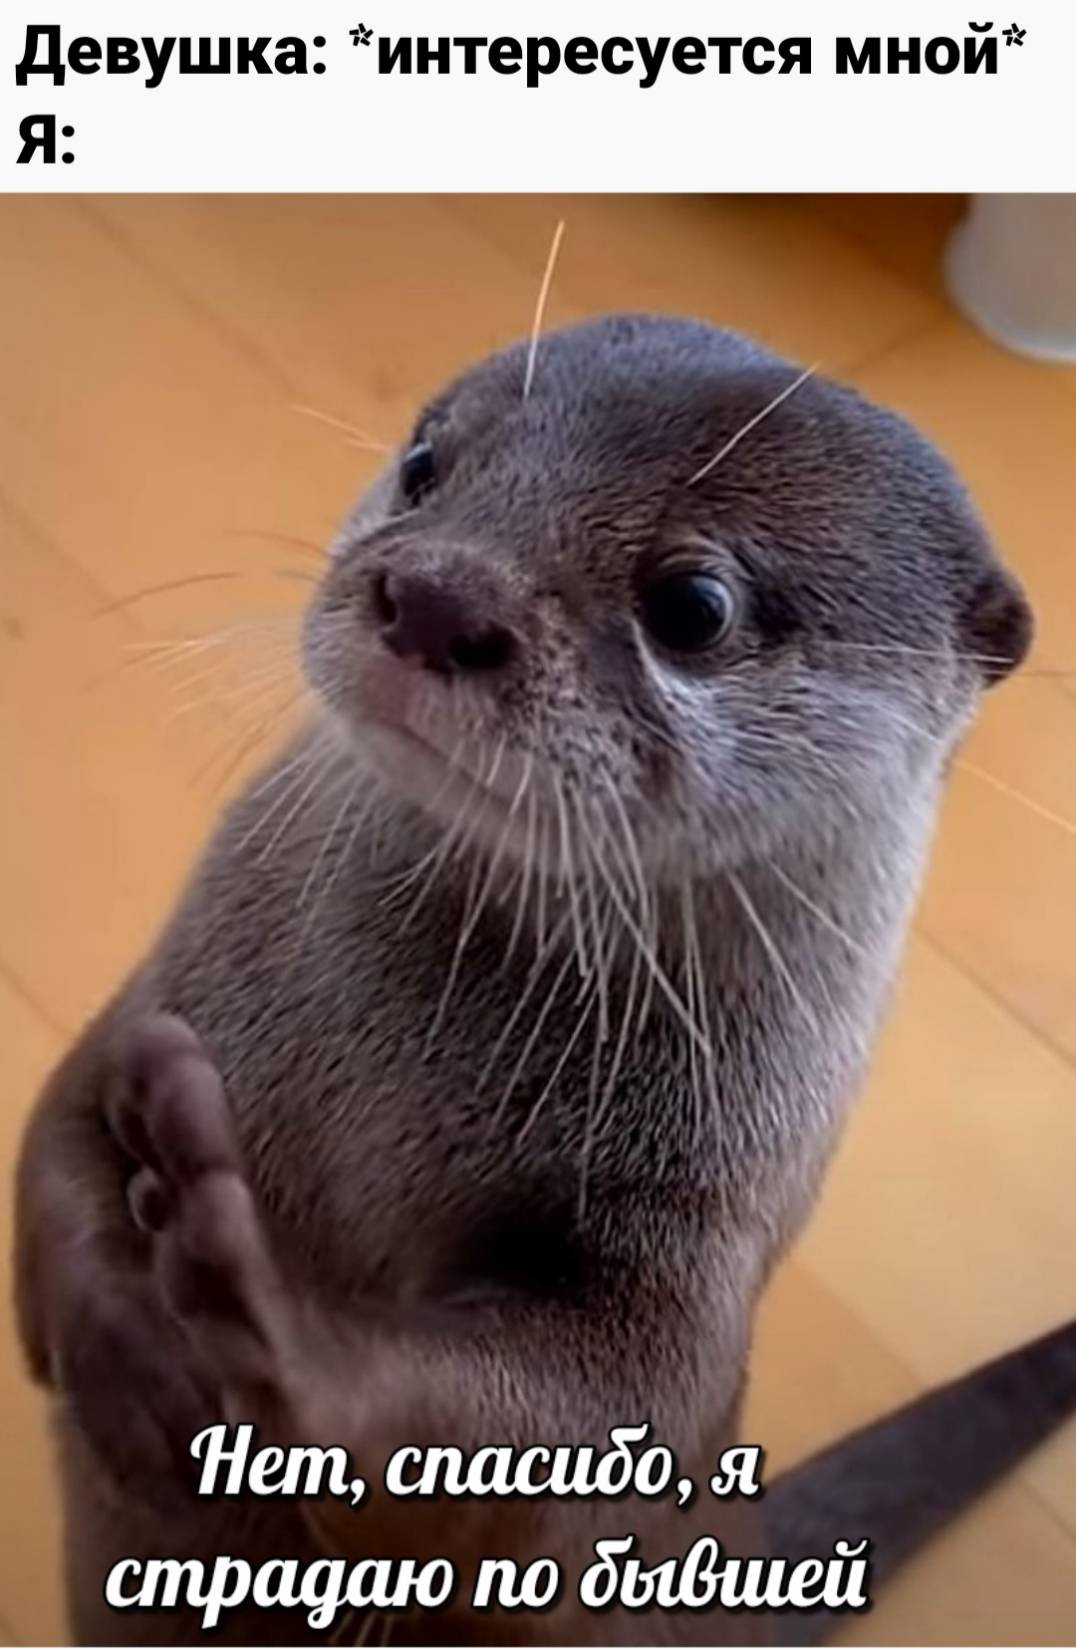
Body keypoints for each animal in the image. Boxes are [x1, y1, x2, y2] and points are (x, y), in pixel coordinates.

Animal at [13, 315, 1074, 1645]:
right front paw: (110, 1337)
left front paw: (263, 1310)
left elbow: (562, 1442)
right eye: (425, 464)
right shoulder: (161, 989)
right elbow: (56, 1122)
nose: (436, 592)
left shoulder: (695, 1236)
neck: (390, 1046)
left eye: (692, 604)